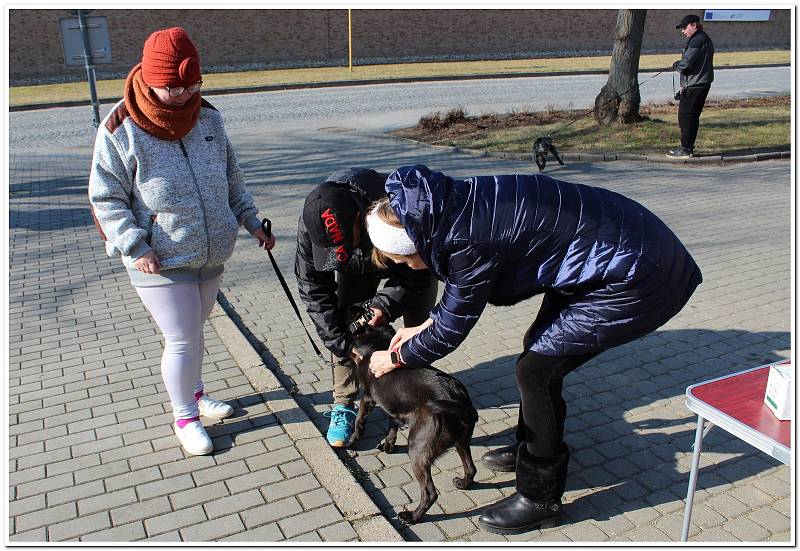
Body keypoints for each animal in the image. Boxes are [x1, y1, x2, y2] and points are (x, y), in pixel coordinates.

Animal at [348, 328, 476, 528]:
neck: (377, 343)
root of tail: (457, 398)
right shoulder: (392, 404)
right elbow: (392, 424)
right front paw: (388, 445)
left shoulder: (367, 398)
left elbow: (359, 421)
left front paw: (351, 442)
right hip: (461, 441)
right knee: (471, 468)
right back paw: (463, 483)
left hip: (417, 449)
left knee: (430, 493)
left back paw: (412, 517)